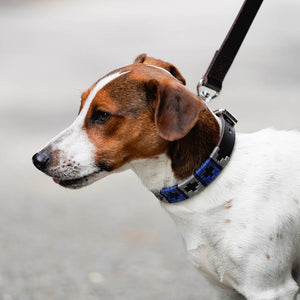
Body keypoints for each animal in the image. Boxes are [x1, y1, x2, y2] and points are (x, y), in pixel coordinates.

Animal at [32, 54, 300, 300]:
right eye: (80, 108)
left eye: (102, 115)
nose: (37, 159)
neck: (213, 176)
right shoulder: (223, 289)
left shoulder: (270, 290)